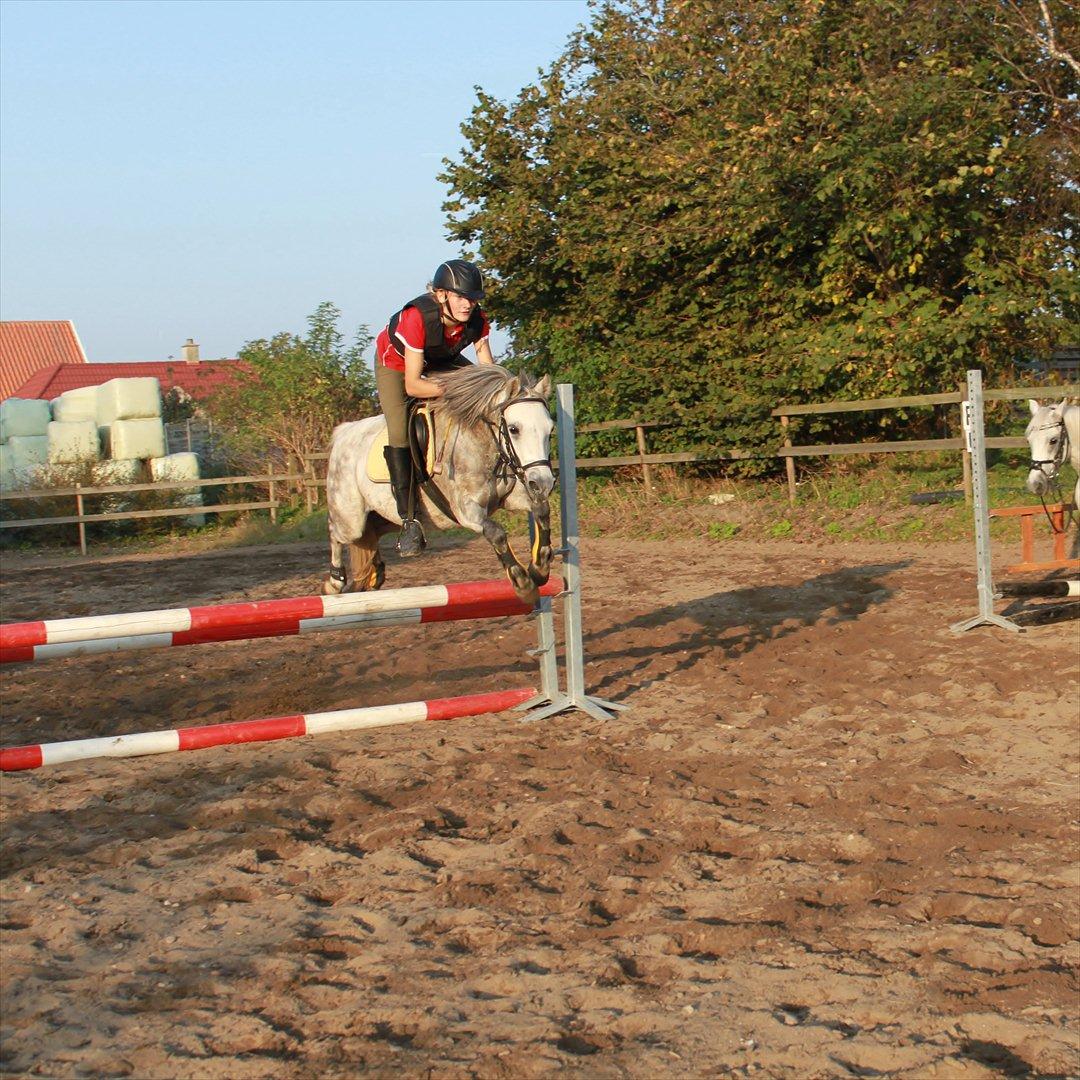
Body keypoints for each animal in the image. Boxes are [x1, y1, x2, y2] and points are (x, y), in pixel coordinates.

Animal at [323, 365, 555, 605]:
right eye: (514, 429)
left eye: (550, 429)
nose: (543, 483)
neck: (483, 444)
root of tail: (344, 432)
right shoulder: (467, 511)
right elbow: (497, 532)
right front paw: (523, 584)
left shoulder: (511, 497)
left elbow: (541, 510)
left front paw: (539, 568)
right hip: (351, 517)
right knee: (336, 531)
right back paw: (335, 582)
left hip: (385, 515)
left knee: (372, 535)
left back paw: (375, 573)